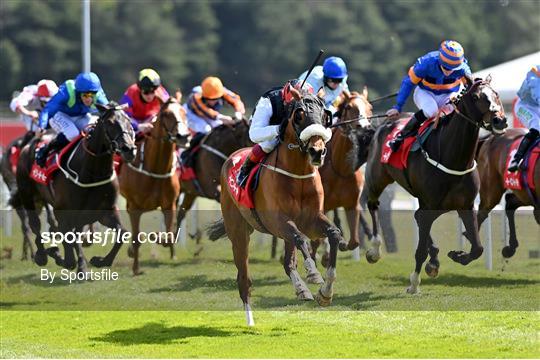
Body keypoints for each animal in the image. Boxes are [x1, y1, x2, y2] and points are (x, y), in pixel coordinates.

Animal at [16, 102, 136, 272]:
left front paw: (100, 260)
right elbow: (69, 238)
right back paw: (41, 255)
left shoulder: (106, 210)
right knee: (35, 224)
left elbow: (122, 233)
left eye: (129, 121)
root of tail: (29, 145)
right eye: (110, 122)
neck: (92, 171)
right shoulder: (64, 210)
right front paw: (80, 266)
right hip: (28, 195)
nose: (129, 149)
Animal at [119, 96, 191, 276]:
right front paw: (136, 267)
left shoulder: (169, 205)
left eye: (184, 112)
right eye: (166, 114)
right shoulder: (134, 207)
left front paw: (156, 237)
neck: (155, 169)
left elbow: (169, 235)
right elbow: (136, 238)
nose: (183, 136)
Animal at [207, 88, 346, 324]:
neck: (298, 175)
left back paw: (301, 289)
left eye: (325, 115)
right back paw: (250, 321)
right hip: (239, 232)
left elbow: (333, 234)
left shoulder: (311, 219)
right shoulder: (277, 221)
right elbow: (301, 238)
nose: (317, 151)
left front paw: (325, 292)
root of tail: (231, 158)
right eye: (299, 114)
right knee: (244, 279)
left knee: (288, 262)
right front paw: (313, 273)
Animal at [364, 78, 508, 292]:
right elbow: (420, 251)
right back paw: (374, 249)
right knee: (373, 204)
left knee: (417, 216)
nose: (500, 120)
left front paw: (458, 255)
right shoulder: (432, 204)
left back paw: (434, 259)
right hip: (377, 178)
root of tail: (387, 122)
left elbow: (478, 248)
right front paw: (414, 283)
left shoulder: (465, 206)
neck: (453, 158)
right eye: (475, 97)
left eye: (496, 94)